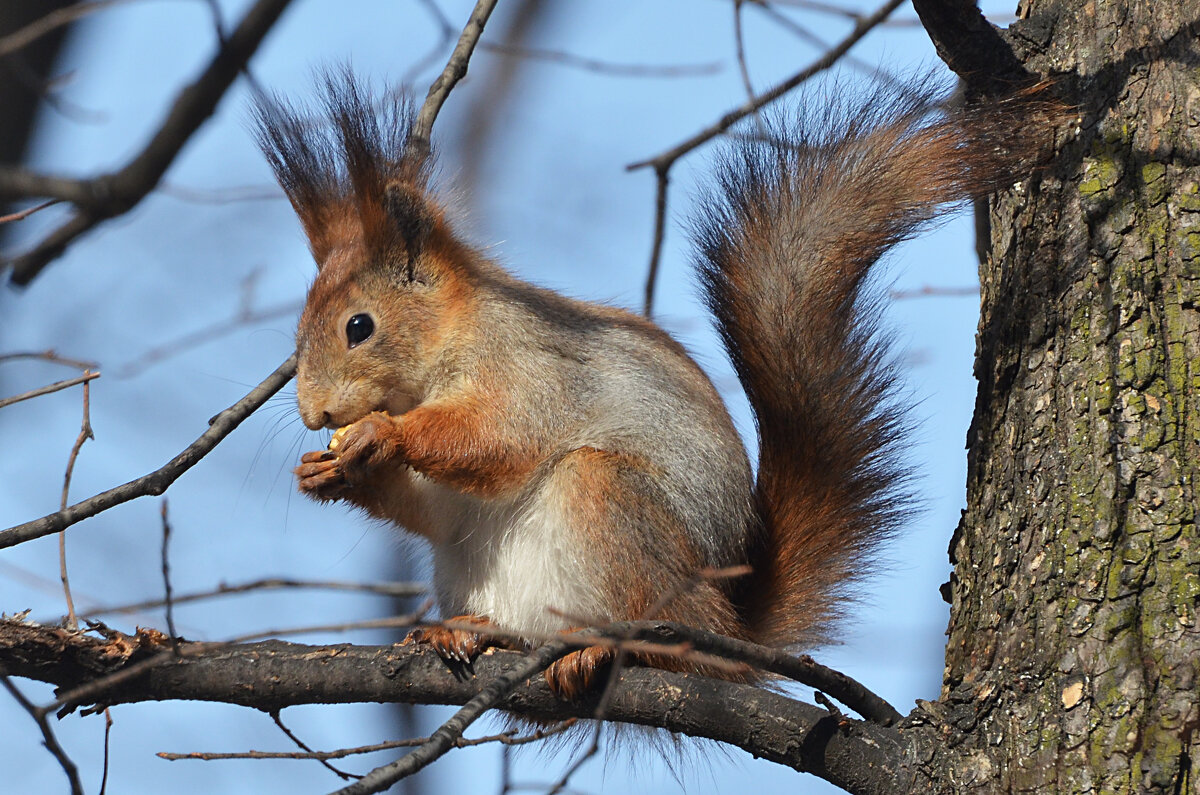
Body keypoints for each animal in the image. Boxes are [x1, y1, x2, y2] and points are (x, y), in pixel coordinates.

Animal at [250, 73, 1051, 696]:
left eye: (359, 326)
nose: (314, 412)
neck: (450, 341)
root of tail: (726, 624)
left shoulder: (531, 365)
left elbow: (501, 438)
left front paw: (381, 434)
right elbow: (434, 509)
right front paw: (327, 473)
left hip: (614, 509)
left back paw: (601, 650)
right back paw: (471, 632)